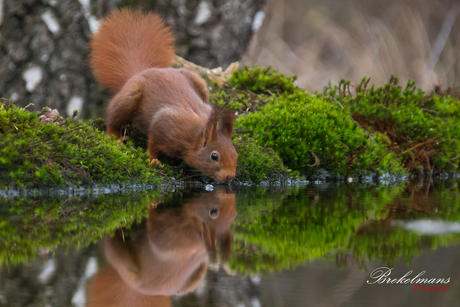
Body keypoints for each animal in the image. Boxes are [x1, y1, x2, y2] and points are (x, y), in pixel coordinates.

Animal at [91, 9, 239, 183]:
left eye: (235, 154)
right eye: (214, 156)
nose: (230, 177)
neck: (195, 136)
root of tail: (143, 71)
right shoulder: (165, 124)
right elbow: (153, 143)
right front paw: (153, 159)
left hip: (201, 85)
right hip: (130, 97)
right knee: (114, 117)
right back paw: (115, 136)